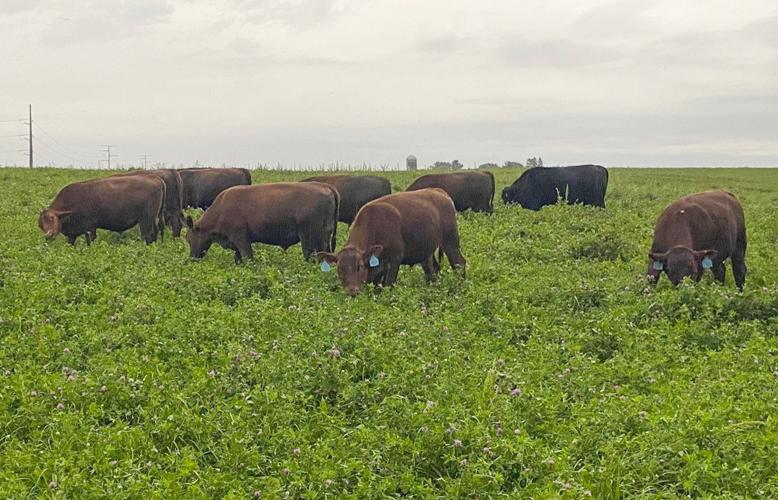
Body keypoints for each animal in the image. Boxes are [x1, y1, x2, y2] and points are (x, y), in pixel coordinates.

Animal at [185, 182, 339, 263]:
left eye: (188, 239)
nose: (192, 258)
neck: (221, 208)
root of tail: (324, 186)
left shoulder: (241, 239)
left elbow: (247, 257)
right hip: (324, 237)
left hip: (308, 237)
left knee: (309, 254)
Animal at [317, 188, 467, 297]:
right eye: (339, 268)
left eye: (359, 266)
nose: (352, 292)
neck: (375, 222)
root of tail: (439, 192)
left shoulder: (394, 260)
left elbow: (388, 285)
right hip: (426, 252)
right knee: (432, 271)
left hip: (450, 242)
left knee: (459, 263)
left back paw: (461, 286)